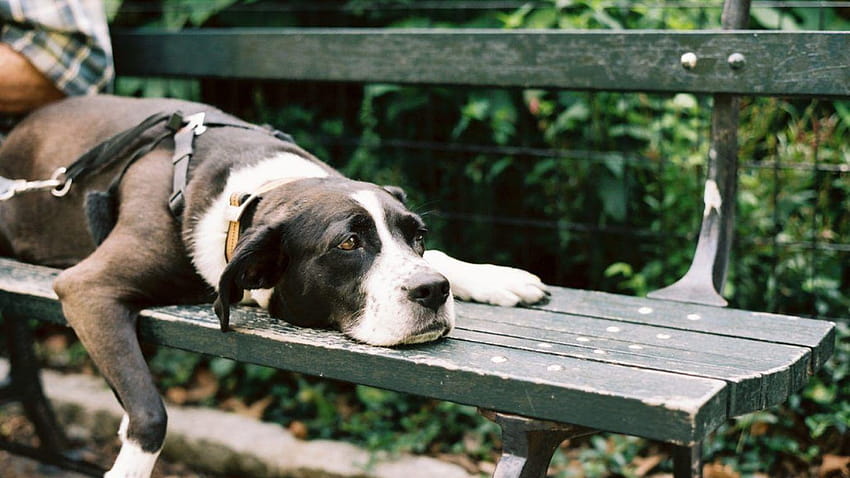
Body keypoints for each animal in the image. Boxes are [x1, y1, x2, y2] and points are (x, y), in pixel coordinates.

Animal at [0, 95, 544, 476]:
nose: (433, 291)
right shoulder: (88, 289)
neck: (249, 197)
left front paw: (496, 277)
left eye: (418, 236)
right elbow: (151, 415)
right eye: (348, 243)